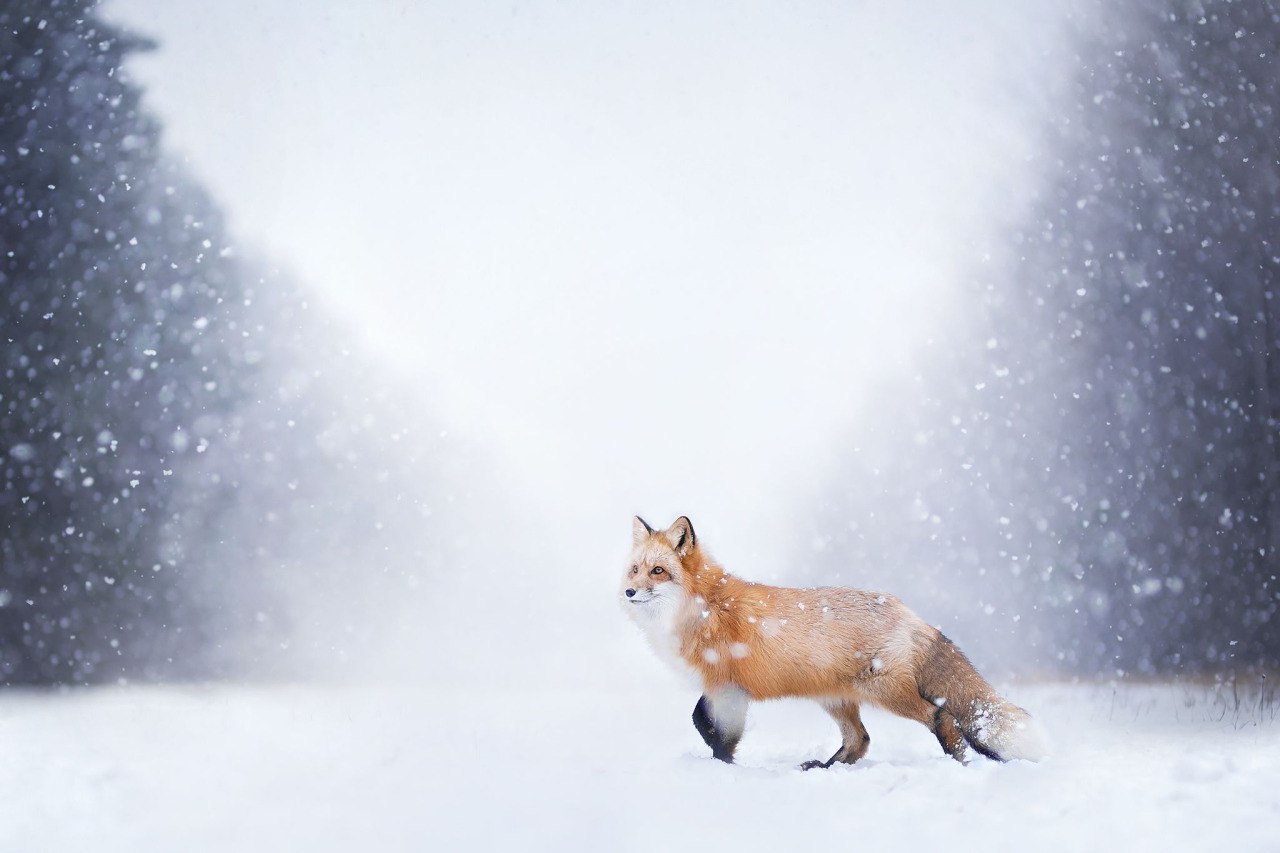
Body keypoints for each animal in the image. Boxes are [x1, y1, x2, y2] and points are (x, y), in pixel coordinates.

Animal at [622, 514, 1049, 768]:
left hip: (884, 691)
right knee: (860, 740)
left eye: (658, 571)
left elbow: (715, 730)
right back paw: (826, 769)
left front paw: (724, 766)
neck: (704, 607)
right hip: (835, 698)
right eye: (635, 569)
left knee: (940, 716)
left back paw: (957, 762)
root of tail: (909, 613)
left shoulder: (727, 688)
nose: (628, 592)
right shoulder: (719, 688)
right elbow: (699, 719)